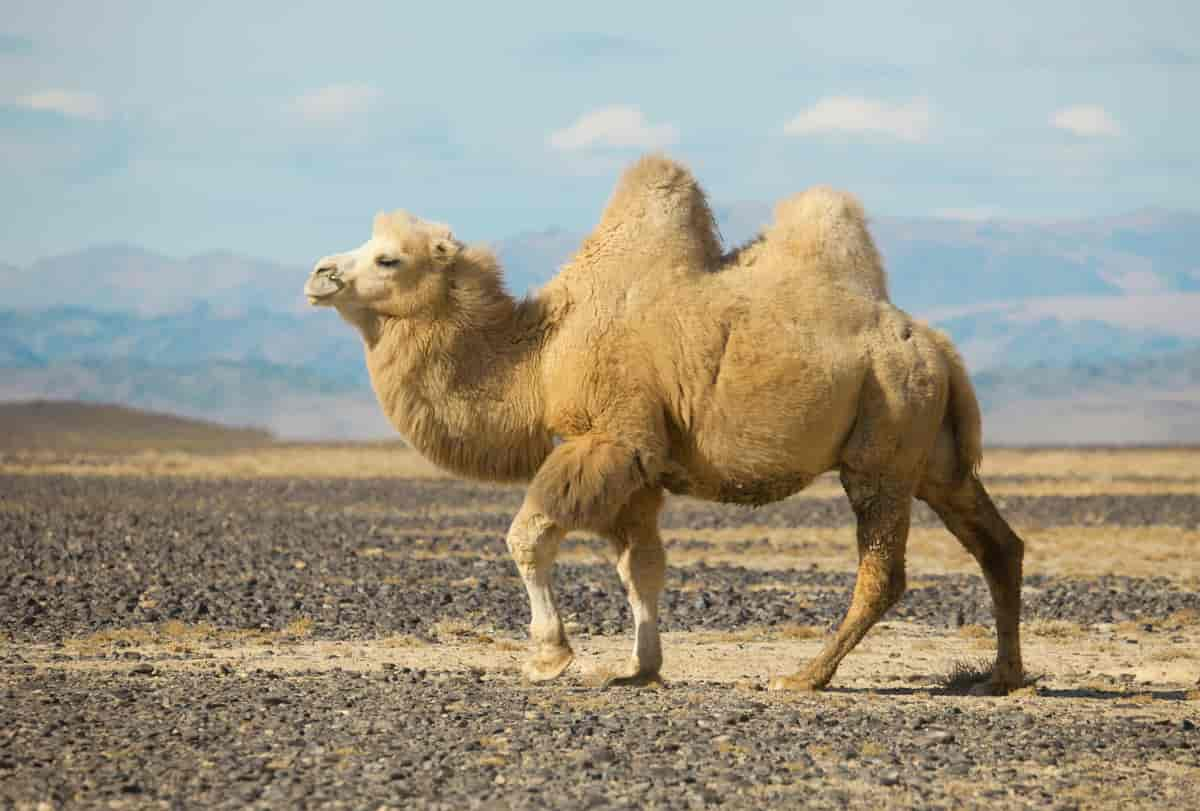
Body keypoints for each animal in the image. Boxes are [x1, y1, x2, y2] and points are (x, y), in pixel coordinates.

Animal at [304, 154, 1027, 695]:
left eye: (390, 258)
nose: (319, 273)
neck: (542, 352)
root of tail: (938, 347)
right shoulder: (646, 464)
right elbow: (642, 565)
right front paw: (638, 667)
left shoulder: (611, 433)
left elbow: (528, 536)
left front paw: (549, 656)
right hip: (933, 456)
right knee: (998, 543)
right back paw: (1002, 675)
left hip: (883, 442)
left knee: (885, 570)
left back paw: (805, 675)